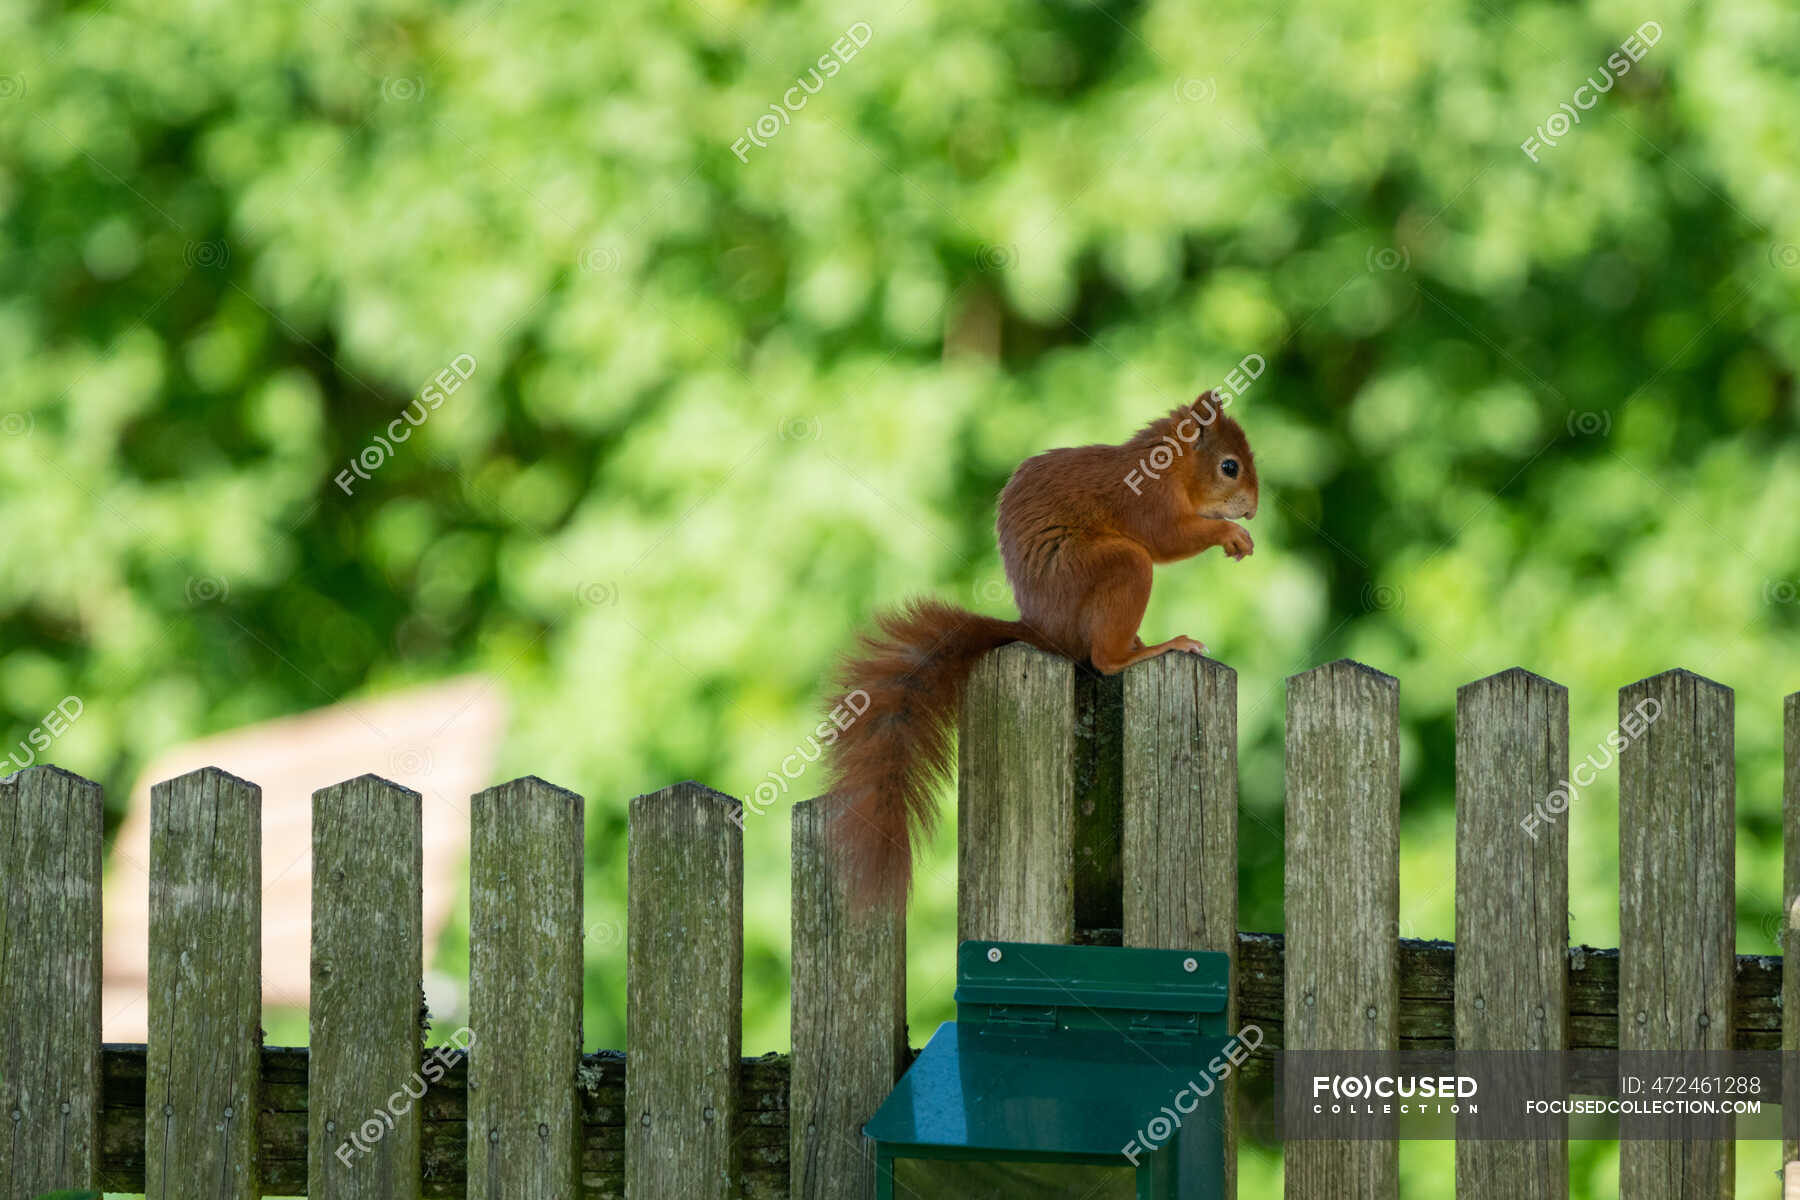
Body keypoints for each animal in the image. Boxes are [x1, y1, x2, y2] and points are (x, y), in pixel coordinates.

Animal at [822, 392, 1259, 908]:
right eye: (1229, 466)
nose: (1252, 510)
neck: (1169, 466)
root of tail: (1043, 630)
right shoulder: (1144, 501)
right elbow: (1166, 538)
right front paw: (1228, 534)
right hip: (1120, 565)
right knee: (1106, 656)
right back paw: (1158, 647)